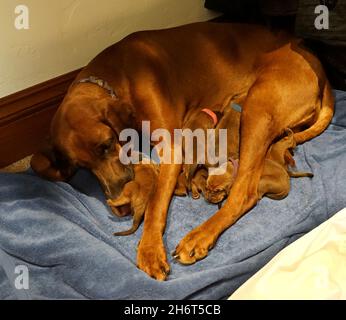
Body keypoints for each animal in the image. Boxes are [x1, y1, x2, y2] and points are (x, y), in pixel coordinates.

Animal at [31, 22, 334, 282]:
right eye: (82, 166)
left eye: (106, 145)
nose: (119, 201)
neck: (117, 79)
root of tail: (313, 57)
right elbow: (38, 162)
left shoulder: (172, 147)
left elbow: (155, 204)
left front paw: (150, 250)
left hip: (258, 107)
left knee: (244, 192)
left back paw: (199, 236)